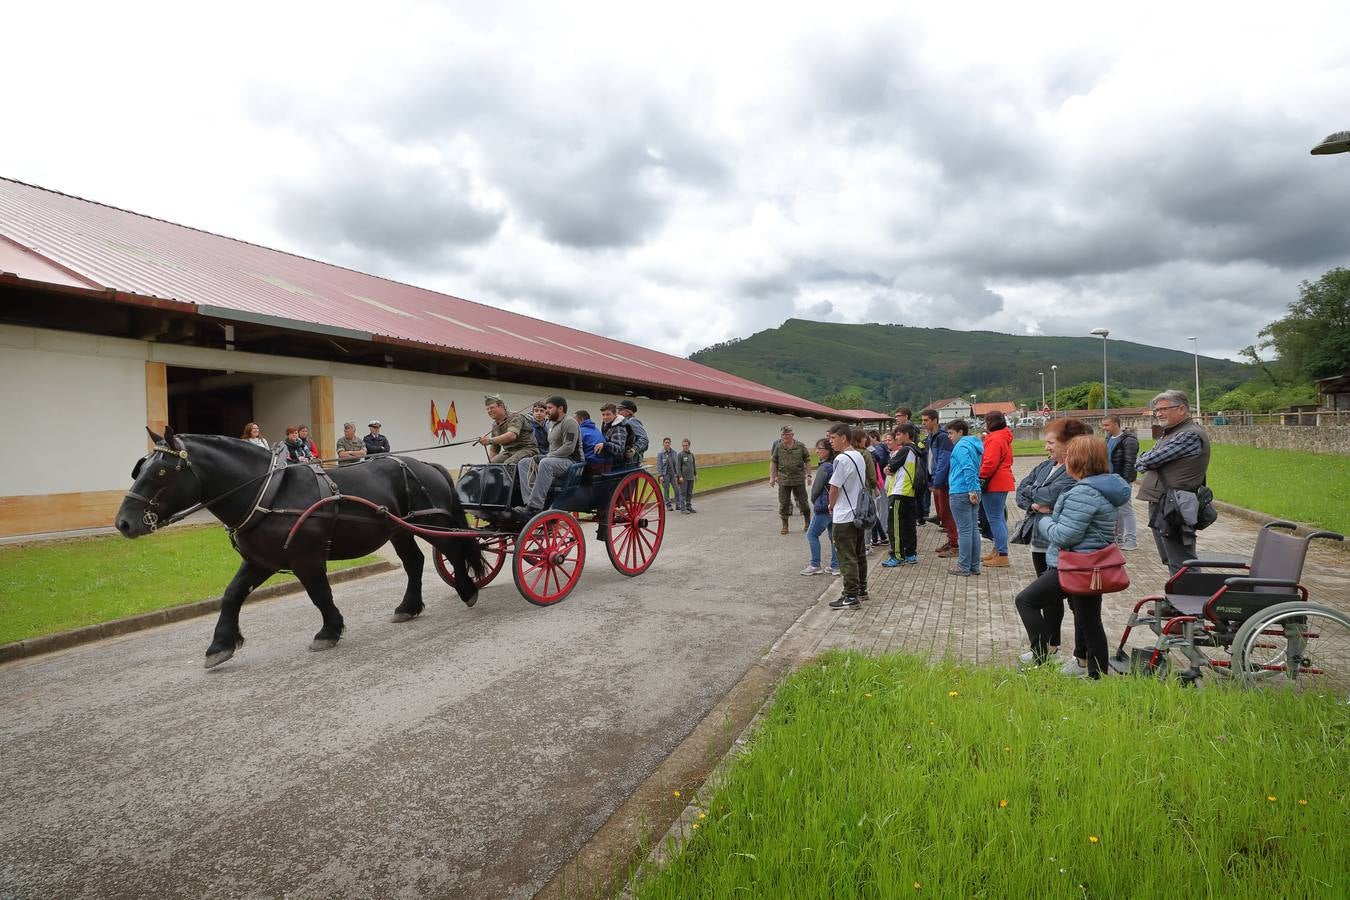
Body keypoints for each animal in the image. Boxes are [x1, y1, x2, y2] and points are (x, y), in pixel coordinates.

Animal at [116, 429, 486, 669]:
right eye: (140, 469)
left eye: (161, 472)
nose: (123, 522)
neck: (271, 493)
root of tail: (429, 467)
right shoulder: (260, 560)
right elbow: (232, 595)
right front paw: (220, 645)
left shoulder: (305, 558)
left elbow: (319, 594)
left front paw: (329, 631)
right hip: (399, 529)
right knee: (414, 562)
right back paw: (408, 607)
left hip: (432, 523)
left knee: (454, 552)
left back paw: (467, 590)